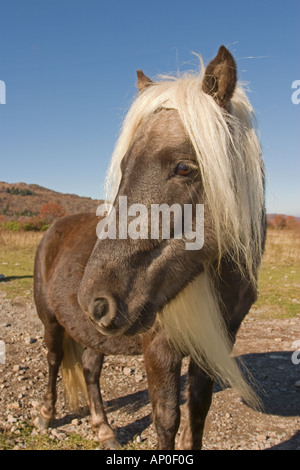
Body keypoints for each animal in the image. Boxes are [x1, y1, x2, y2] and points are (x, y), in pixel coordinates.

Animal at [34, 46, 266, 450]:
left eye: (184, 168)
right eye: (124, 167)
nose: (95, 300)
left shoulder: (215, 346)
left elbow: (198, 413)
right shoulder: (160, 350)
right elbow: (167, 419)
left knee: (90, 368)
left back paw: (104, 429)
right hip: (51, 321)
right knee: (52, 361)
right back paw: (47, 416)